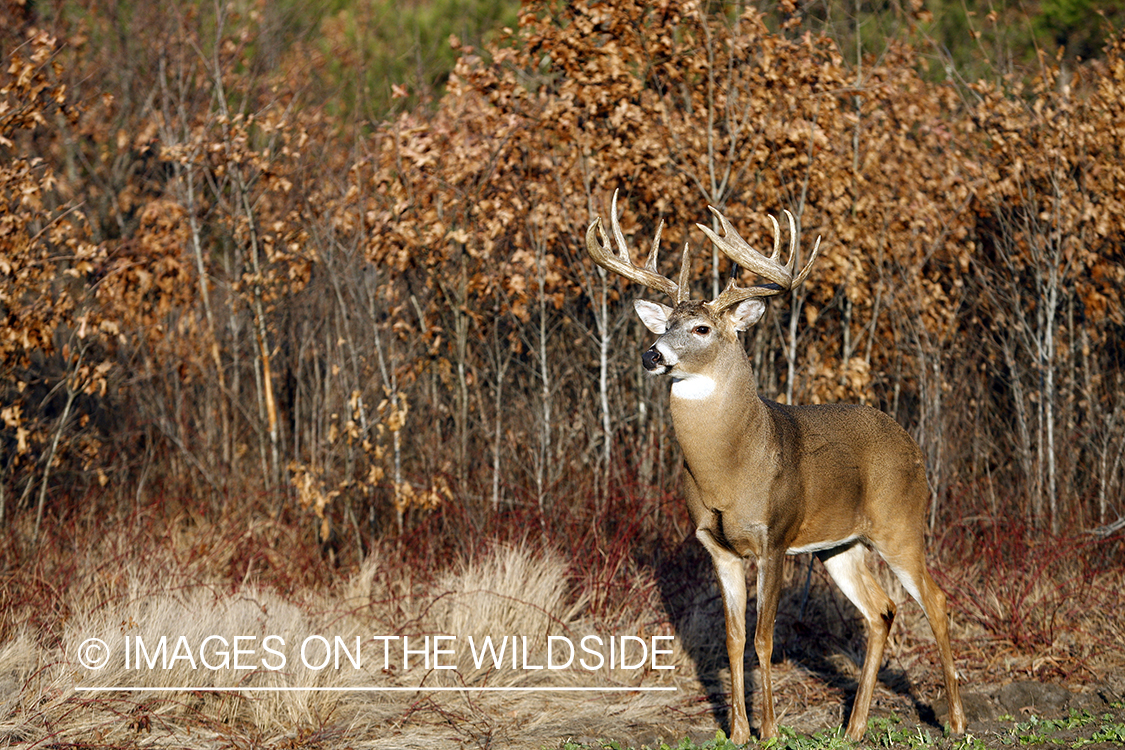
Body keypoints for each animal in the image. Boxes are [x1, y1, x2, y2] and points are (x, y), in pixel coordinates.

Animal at [585, 191, 963, 742]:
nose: (652, 354)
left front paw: (770, 731)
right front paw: (739, 732)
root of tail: (911, 443)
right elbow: (733, 639)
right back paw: (854, 728)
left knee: (935, 600)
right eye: (666, 324)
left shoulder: (775, 538)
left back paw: (955, 721)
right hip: (839, 545)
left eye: (701, 328)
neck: (728, 472)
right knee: (881, 610)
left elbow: (764, 638)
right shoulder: (717, 546)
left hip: (900, 523)